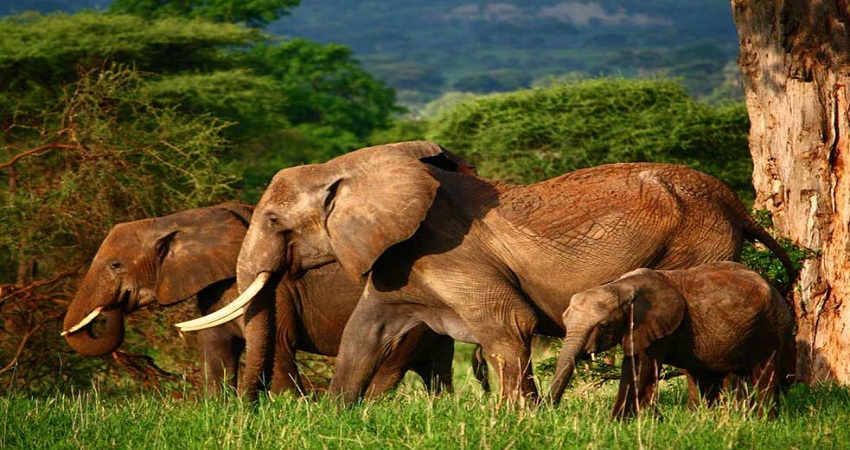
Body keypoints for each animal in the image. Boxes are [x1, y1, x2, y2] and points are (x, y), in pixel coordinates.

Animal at [61, 202, 466, 399]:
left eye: (115, 265)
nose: (114, 306)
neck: (178, 220)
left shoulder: (278, 290)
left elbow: (278, 345)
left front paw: (286, 406)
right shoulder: (215, 292)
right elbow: (215, 352)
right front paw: (221, 407)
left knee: (388, 369)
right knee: (437, 372)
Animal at [549, 261, 796, 419]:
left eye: (603, 326)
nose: (549, 410)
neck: (622, 287)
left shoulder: (660, 327)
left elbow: (641, 370)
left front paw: (618, 423)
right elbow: (634, 367)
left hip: (772, 328)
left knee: (764, 375)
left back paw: (764, 421)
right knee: (701, 378)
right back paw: (701, 420)